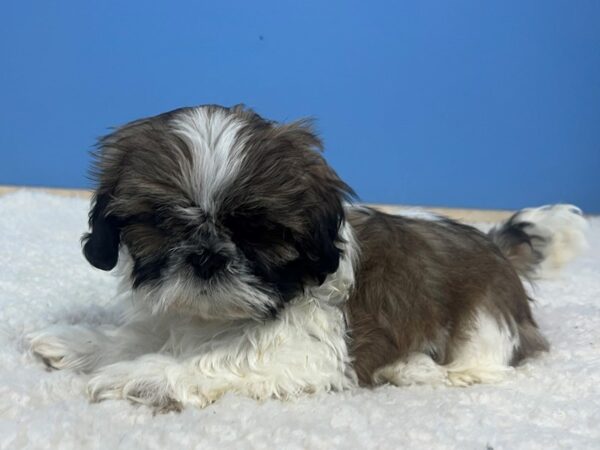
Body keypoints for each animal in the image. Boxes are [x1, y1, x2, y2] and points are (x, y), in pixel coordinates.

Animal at [27, 104, 584, 412]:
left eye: (258, 231)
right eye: (163, 223)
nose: (207, 257)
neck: (219, 319)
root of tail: (495, 246)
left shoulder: (306, 349)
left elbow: (221, 358)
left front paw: (141, 375)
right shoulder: (175, 314)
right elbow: (141, 335)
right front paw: (82, 342)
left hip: (485, 318)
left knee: (486, 363)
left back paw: (421, 372)